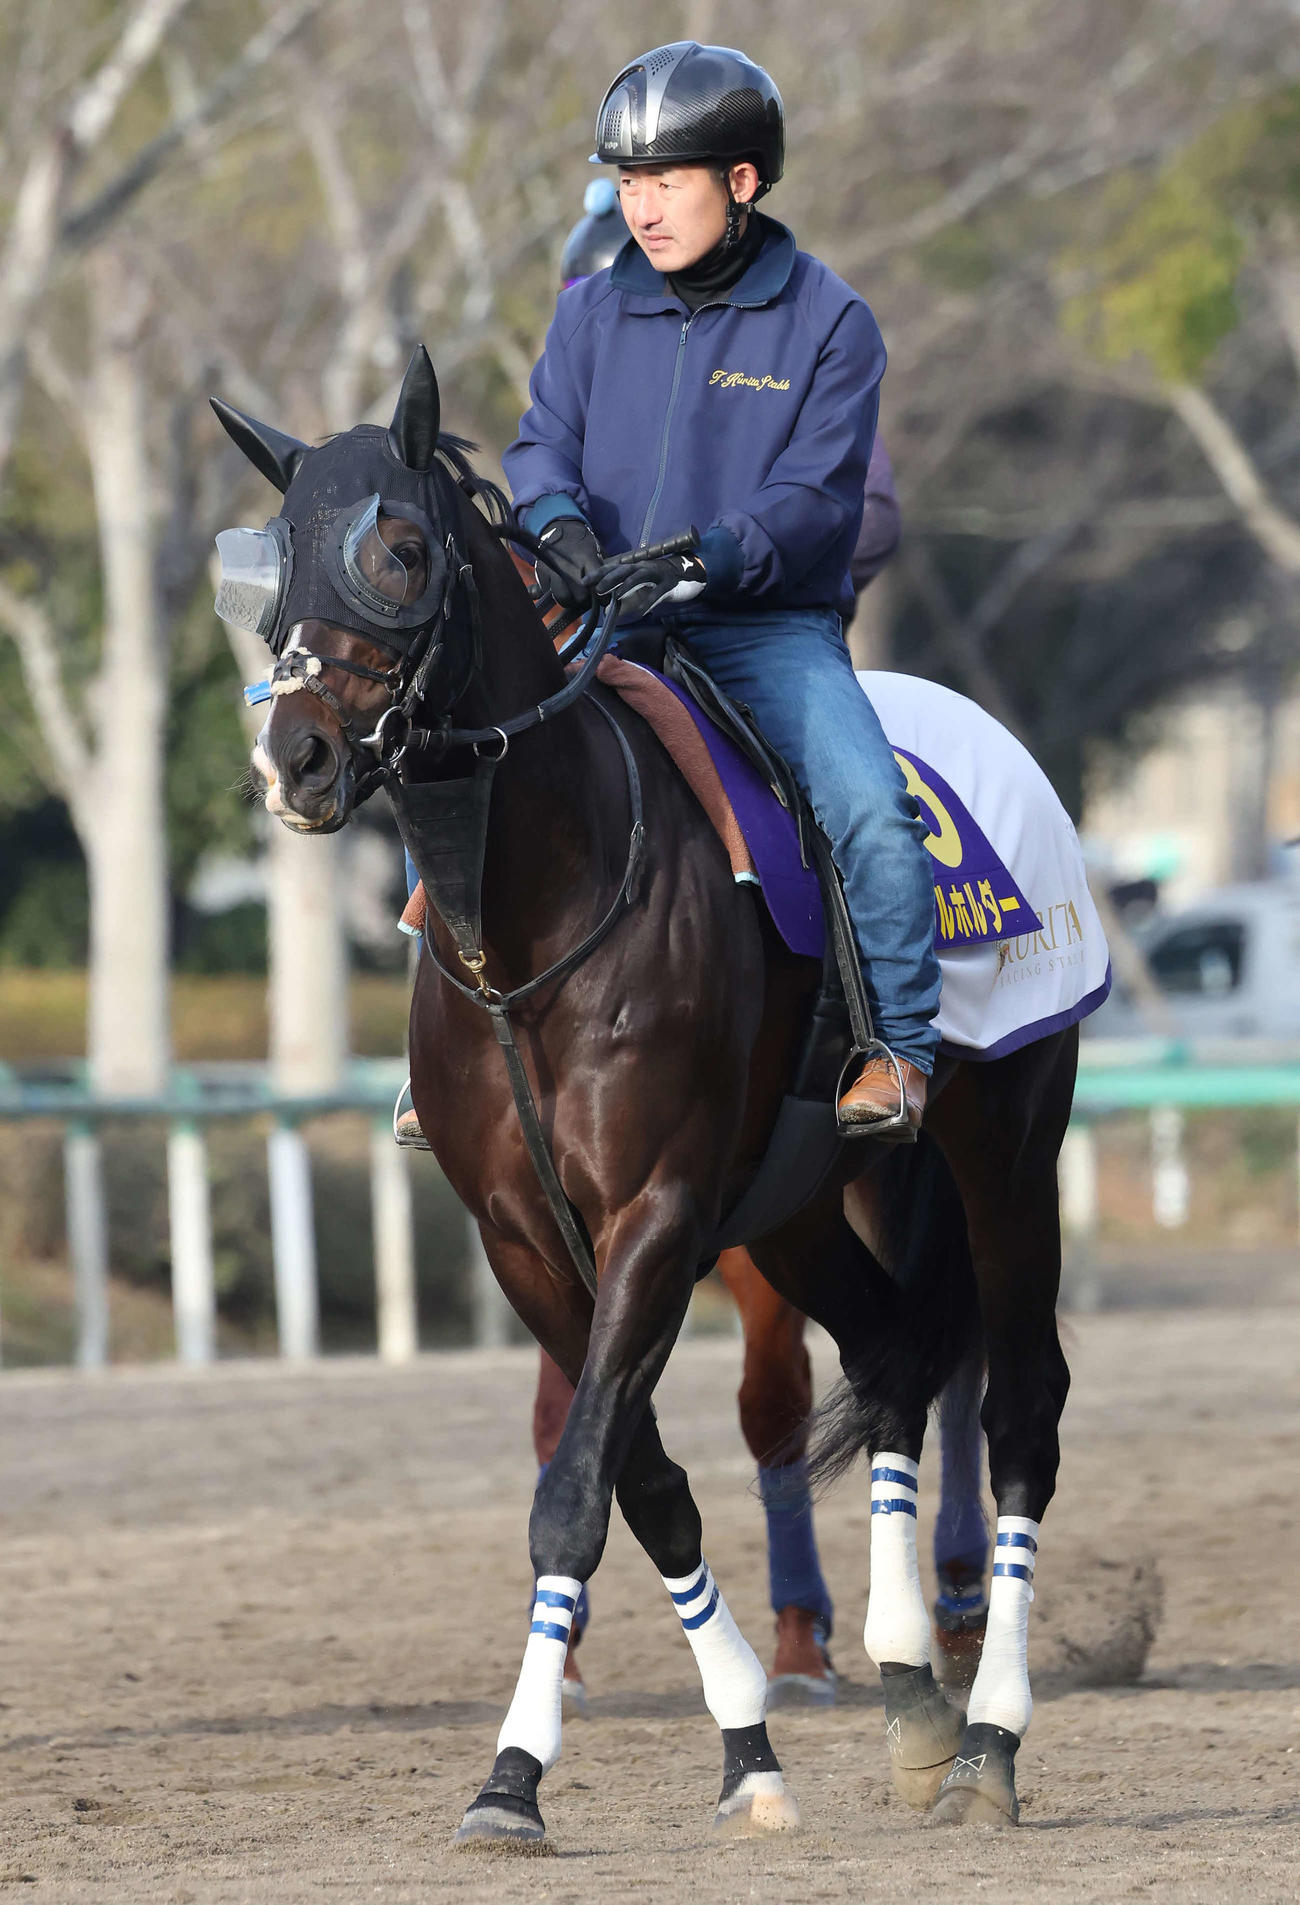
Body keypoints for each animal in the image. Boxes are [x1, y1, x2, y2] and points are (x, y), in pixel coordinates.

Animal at [223, 345, 1077, 1844]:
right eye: (275, 561)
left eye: (400, 548)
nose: (301, 757)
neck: (529, 926)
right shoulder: (525, 1237)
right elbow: (642, 1485)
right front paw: (737, 1746)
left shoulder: (659, 1212)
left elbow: (573, 1498)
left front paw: (517, 1771)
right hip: (795, 1209)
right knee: (894, 1355)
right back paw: (909, 1686)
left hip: (1007, 1146)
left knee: (1020, 1407)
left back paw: (988, 1739)